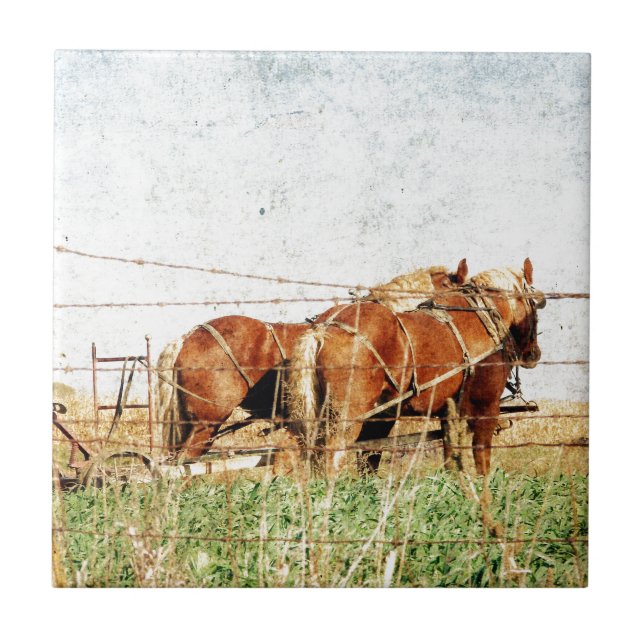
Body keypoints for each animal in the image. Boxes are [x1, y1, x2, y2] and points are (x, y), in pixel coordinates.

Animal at [286, 258, 545, 477]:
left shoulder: (446, 413)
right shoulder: (486, 408)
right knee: (330, 459)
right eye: (534, 304)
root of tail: (323, 329)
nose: (533, 354)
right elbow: (482, 460)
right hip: (346, 417)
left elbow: (449, 459)